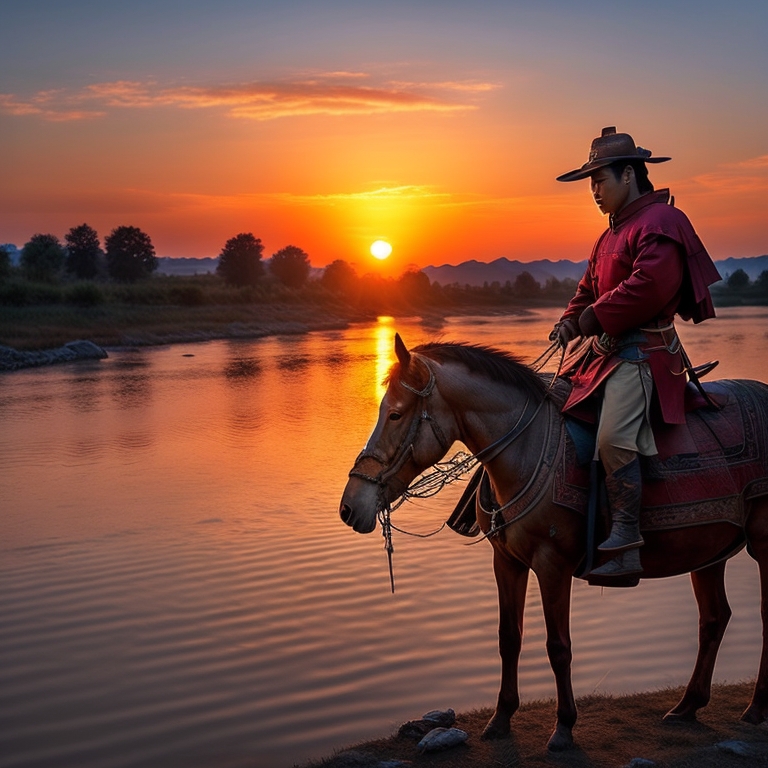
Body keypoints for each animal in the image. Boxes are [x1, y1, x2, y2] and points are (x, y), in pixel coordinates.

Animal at [342, 334, 768, 752]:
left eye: (396, 414)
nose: (350, 507)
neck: (526, 449)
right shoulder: (506, 562)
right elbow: (509, 637)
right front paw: (501, 718)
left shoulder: (552, 565)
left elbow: (558, 646)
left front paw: (563, 727)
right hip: (709, 553)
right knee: (713, 619)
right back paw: (687, 706)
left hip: (763, 543)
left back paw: (755, 709)